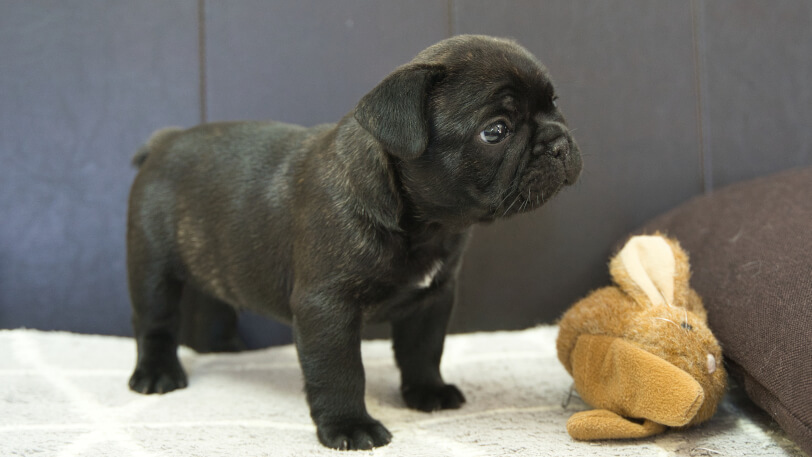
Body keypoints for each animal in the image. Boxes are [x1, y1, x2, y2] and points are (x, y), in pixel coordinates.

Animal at [127, 35, 580, 448]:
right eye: (495, 131)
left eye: (555, 104)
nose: (559, 142)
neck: (428, 224)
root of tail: (164, 141)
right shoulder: (327, 308)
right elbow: (340, 371)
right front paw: (349, 425)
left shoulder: (432, 299)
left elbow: (424, 350)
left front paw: (427, 391)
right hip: (152, 270)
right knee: (156, 322)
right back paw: (157, 374)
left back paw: (228, 349)